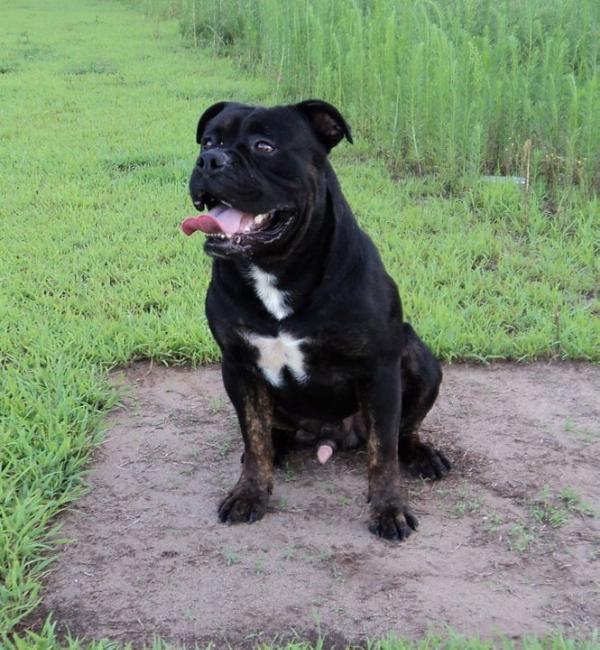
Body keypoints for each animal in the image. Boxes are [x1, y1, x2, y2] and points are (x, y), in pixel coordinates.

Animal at [184, 98, 450, 540]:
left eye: (264, 146)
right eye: (208, 140)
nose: (209, 160)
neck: (277, 268)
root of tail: (332, 437)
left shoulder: (379, 369)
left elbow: (383, 452)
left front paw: (389, 508)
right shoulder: (238, 366)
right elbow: (253, 436)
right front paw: (249, 493)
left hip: (419, 357)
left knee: (402, 431)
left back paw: (421, 455)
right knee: (269, 433)